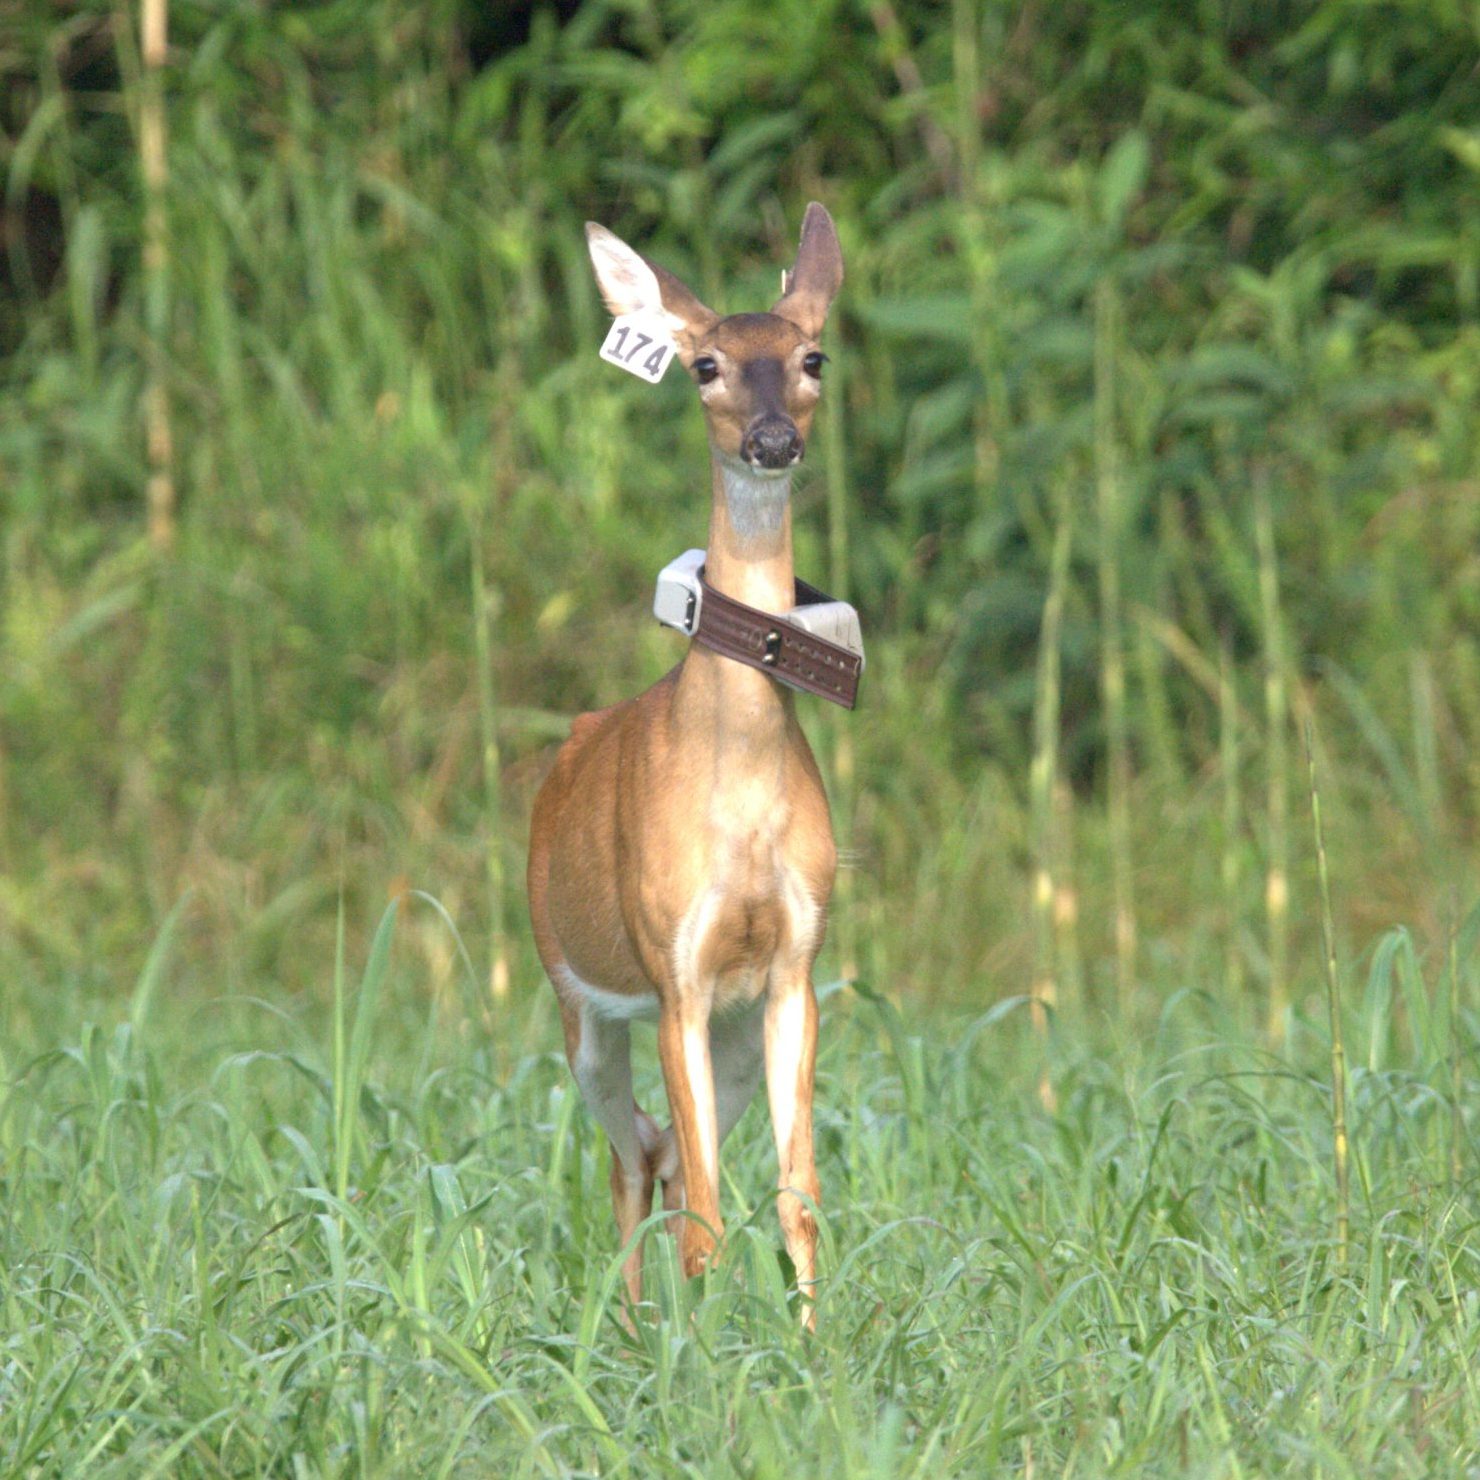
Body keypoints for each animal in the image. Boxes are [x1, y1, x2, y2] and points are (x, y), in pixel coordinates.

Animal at [525, 203, 848, 1328]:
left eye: (812, 356)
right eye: (705, 364)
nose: (772, 440)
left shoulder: (791, 967)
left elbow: (796, 1201)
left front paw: (815, 1348)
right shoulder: (672, 966)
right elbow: (711, 1218)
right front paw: (709, 1361)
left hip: (736, 1032)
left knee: (661, 1154)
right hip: (579, 1000)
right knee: (631, 1159)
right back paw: (631, 1329)